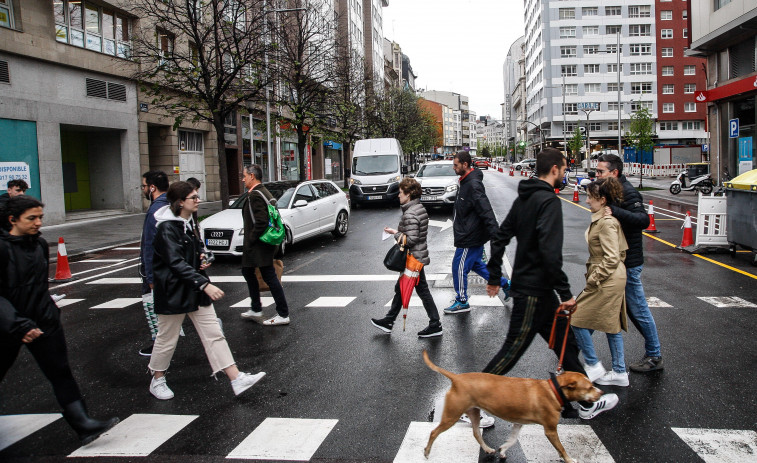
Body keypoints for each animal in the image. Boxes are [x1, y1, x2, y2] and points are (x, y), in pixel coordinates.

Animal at [426, 352, 604, 463]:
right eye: (589, 387)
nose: (601, 392)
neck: (554, 390)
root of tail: (457, 378)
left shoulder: (518, 423)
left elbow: (512, 440)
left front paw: (503, 450)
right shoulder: (550, 430)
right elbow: (561, 447)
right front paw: (568, 459)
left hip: (474, 412)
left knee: (476, 433)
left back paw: (488, 449)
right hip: (451, 416)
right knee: (434, 432)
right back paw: (426, 452)